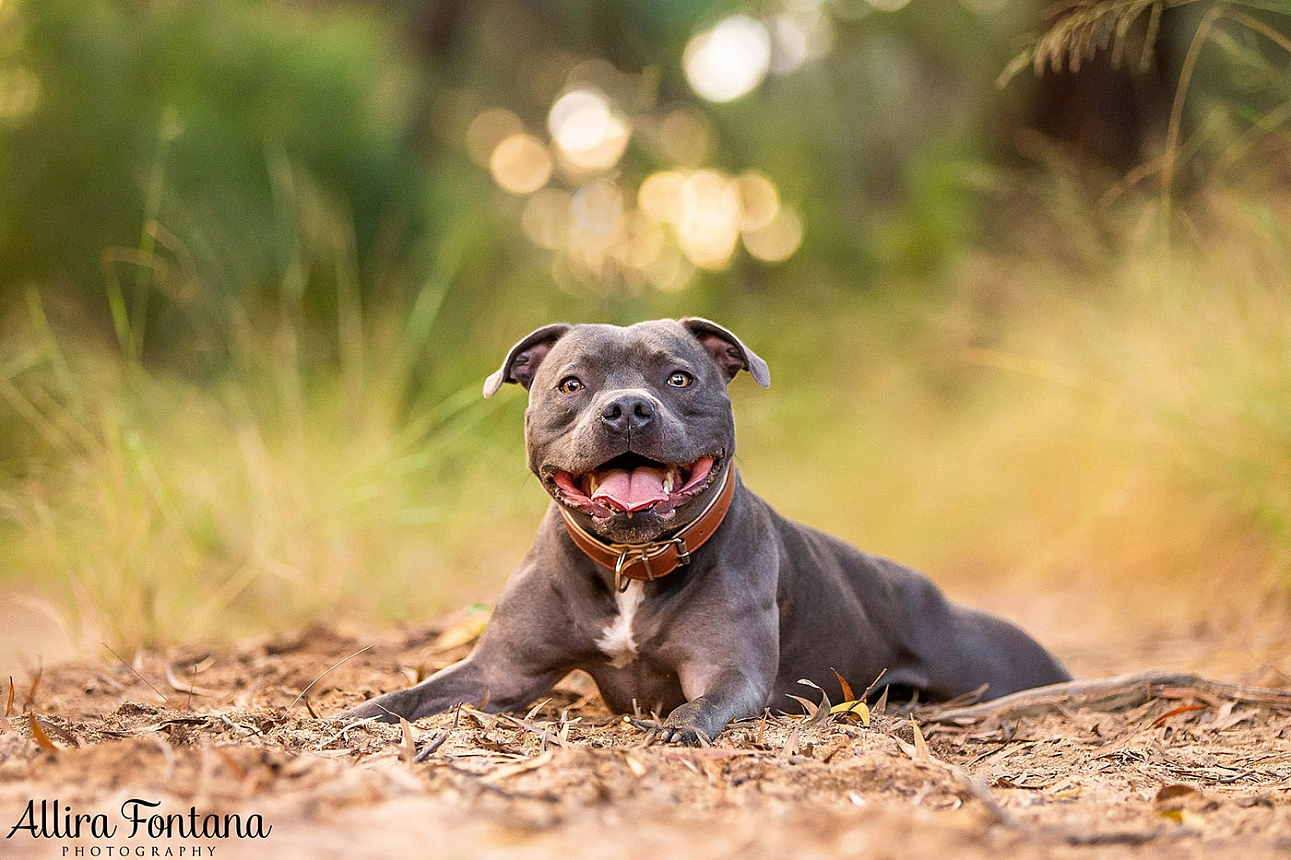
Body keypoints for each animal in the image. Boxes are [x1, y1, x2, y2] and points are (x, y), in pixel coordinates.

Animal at [340, 317, 1068, 738]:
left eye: (679, 377)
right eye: (571, 385)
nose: (627, 408)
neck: (632, 563)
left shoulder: (729, 673)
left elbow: (700, 705)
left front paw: (677, 728)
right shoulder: (501, 670)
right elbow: (414, 695)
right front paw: (347, 717)